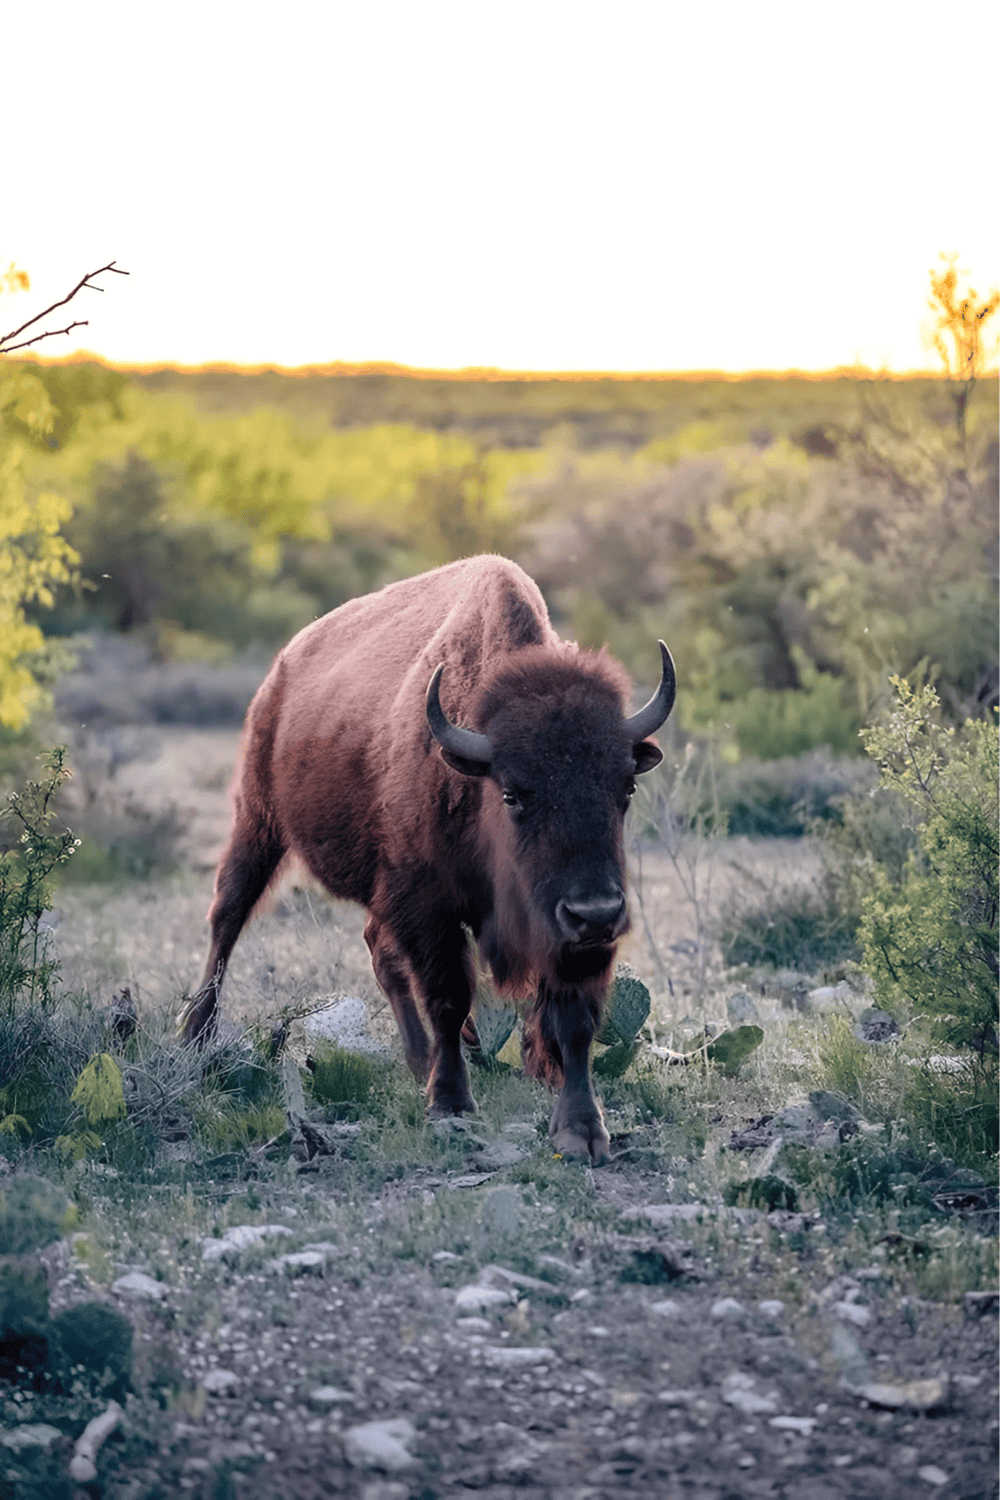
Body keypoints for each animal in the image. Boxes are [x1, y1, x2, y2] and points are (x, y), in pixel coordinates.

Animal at [180, 556, 675, 1162]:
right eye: (512, 793)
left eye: (625, 786)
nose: (596, 911)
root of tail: (282, 668)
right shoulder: (428, 904)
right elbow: (448, 996)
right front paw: (451, 1104)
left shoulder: (573, 938)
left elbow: (574, 1018)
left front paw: (582, 1129)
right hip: (257, 822)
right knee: (226, 919)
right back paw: (195, 1038)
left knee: (377, 948)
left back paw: (422, 1061)